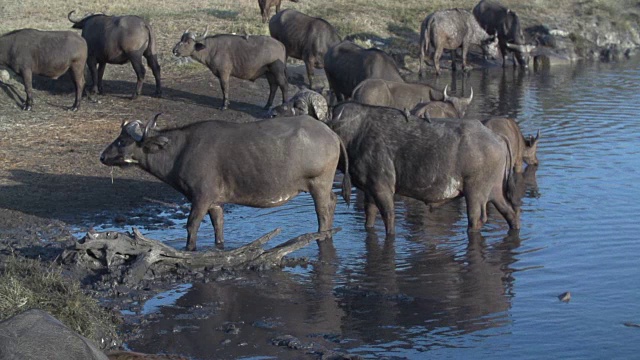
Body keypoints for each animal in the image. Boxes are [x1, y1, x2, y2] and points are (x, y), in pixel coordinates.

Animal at [100, 113, 350, 250]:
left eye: (122, 141)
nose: (102, 156)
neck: (180, 151)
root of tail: (331, 134)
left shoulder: (201, 197)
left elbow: (191, 225)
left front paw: (190, 248)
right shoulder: (215, 203)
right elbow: (218, 226)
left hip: (318, 184)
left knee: (323, 211)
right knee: (333, 201)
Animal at [328, 102, 516, 236]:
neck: (355, 133)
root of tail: (497, 137)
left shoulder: (383, 189)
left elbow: (389, 219)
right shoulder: (369, 191)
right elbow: (370, 218)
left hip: (475, 194)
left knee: (477, 220)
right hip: (495, 192)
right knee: (511, 213)